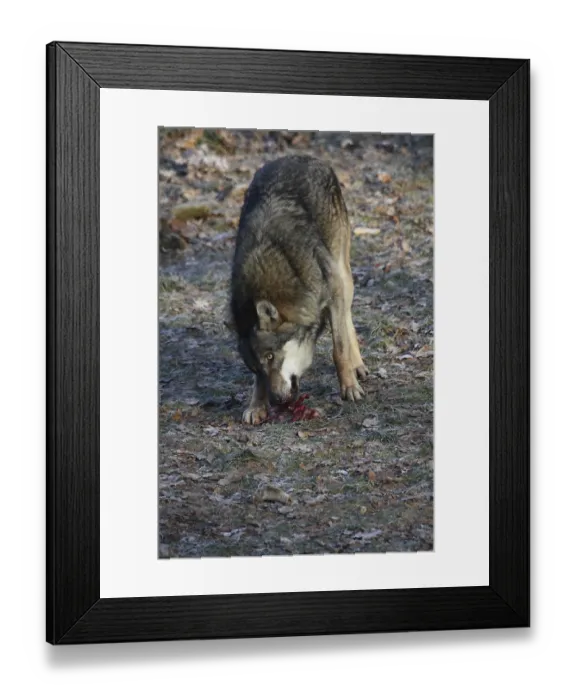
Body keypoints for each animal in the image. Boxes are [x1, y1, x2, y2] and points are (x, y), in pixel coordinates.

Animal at [230, 154, 368, 425]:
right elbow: (257, 383)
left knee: (347, 320)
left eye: (270, 356)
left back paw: (356, 366)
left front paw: (348, 386)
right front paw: (256, 405)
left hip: (343, 275)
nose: (276, 401)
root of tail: (300, 156)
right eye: (255, 366)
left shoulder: (333, 294)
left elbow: (339, 349)